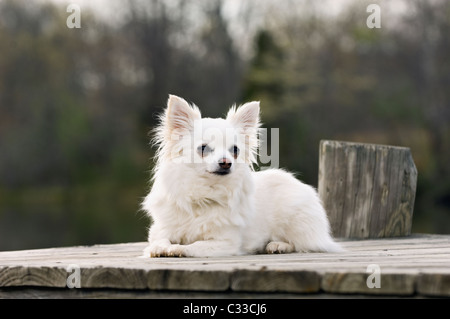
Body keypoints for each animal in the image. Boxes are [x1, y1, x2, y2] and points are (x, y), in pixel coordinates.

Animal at [142, 95, 342, 258]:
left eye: (235, 150)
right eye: (203, 148)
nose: (226, 162)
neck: (205, 193)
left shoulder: (224, 243)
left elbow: (197, 245)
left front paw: (179, 248)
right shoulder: (161, 230)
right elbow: (159, 240)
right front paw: (161, 248)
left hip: (297, 222)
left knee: (300, 244)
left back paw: (278, 245)